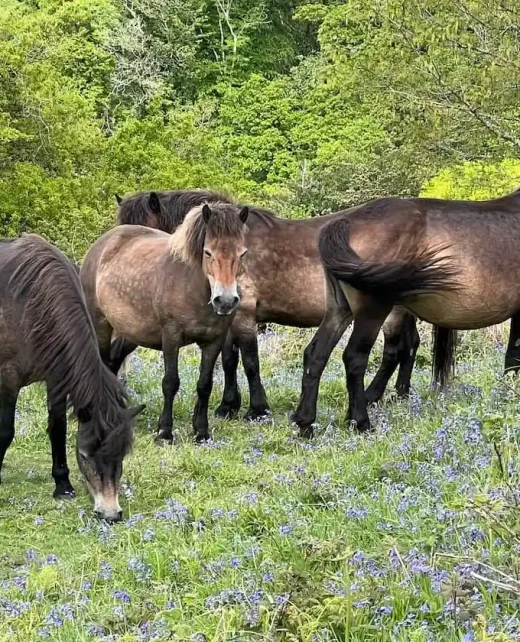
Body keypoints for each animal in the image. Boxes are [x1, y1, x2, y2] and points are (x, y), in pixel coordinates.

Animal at [0, 234, 144, 521]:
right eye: (85, 456)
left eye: (122, 456)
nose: (110, 514)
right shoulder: (9, 380)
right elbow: (6, 431)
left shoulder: (56, 378)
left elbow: (57, 427)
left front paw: (62, 485)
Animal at [80, 202, 249, 443]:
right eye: (208, 252)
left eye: (242, 253)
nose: (225, 301)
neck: (194, 288)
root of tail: (101, 244)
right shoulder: (171, 336)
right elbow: (170, 382)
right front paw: (165, 433)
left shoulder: (214, 341)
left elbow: (204, 385)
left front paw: (201, 432)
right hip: (101, 325)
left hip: (129, 333)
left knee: (113, 363)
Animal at [112, 190, 421, 427]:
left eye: (145, 228)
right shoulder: (227, 316)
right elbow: (229, 360)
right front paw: (228, 406)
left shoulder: (243, 314)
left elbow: (249, 362)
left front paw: (256, 409)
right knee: (409, 347)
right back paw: (399, 393)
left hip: (388, 312)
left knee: (393, 351)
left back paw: (372, 397)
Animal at [297, 189, 520, 434]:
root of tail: (346, 223)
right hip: (372, 310)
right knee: (354, 357)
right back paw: (361, 422)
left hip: (339, 310)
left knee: (316, 354)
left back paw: (305, 422)